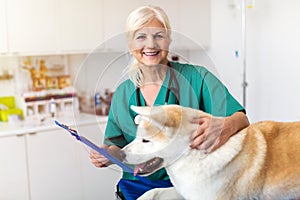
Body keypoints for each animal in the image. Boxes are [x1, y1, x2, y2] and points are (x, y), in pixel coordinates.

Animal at [120, 104, 300, 200]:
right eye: (137, 137)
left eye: (145, 140)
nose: (120, 154)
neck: (193, 157)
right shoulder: (186, 191)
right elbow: (153, 191)